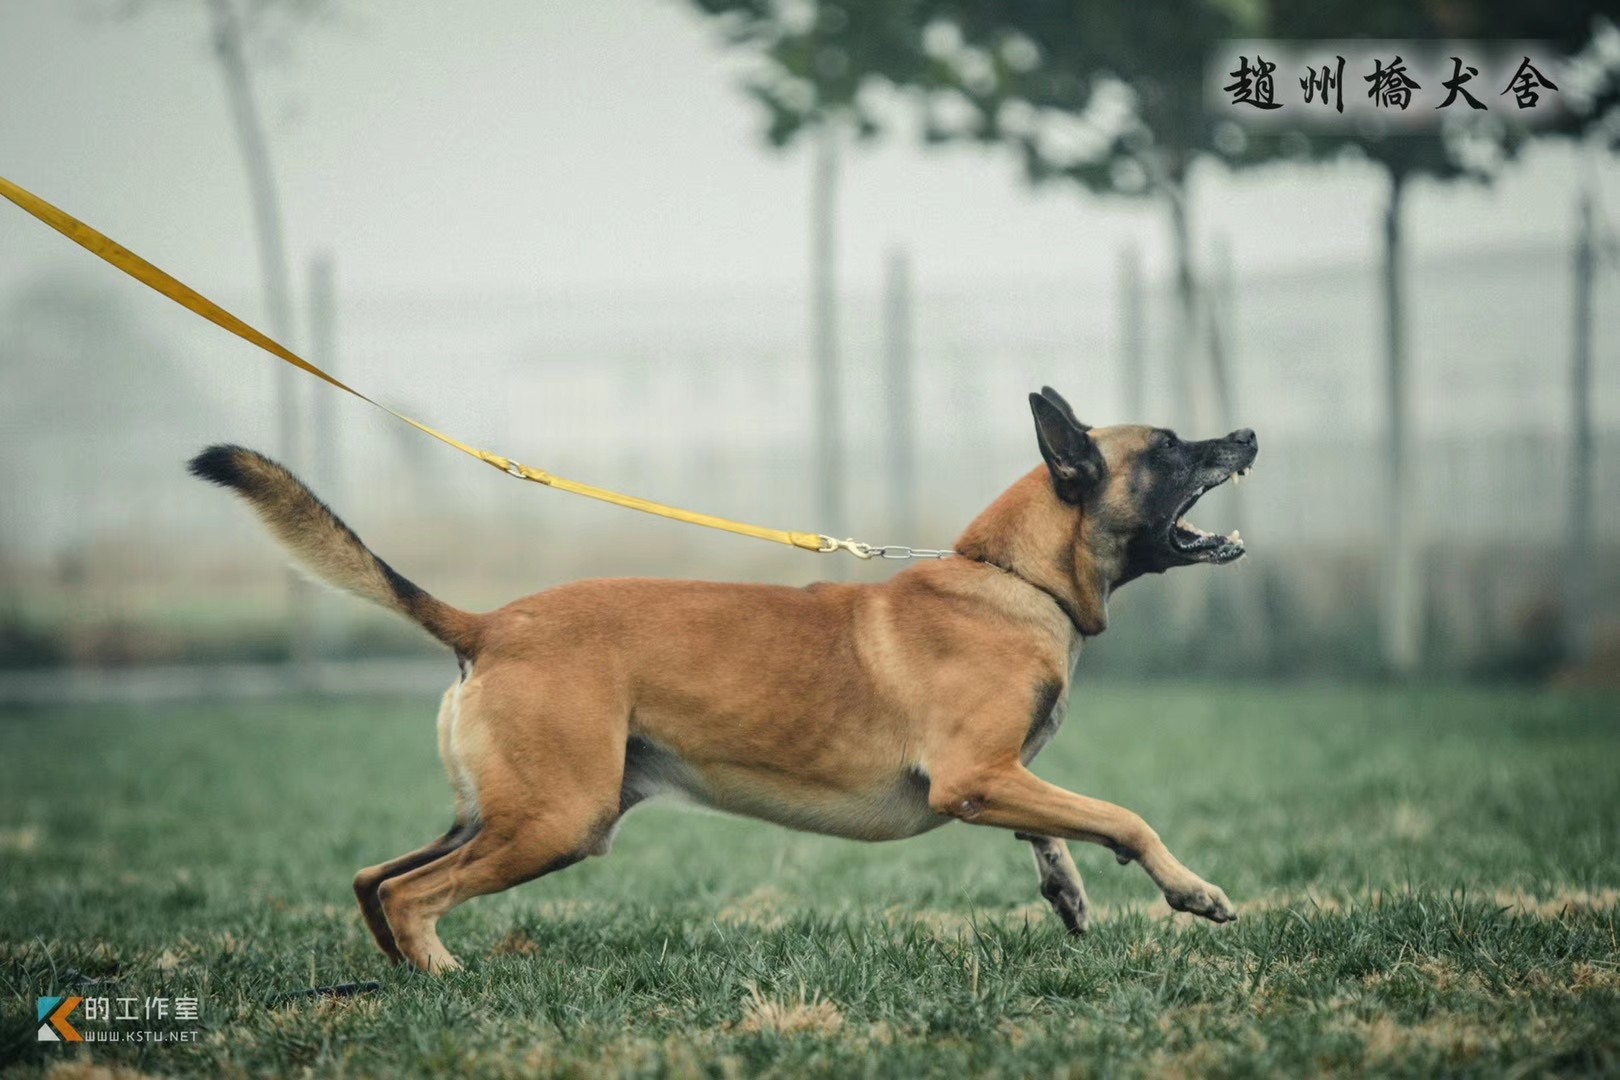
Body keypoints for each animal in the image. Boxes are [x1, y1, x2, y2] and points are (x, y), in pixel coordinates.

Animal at [189, 386, 1250, 971]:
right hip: (556, 819)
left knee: (377, 880)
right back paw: (448, 980)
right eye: (1166, 448)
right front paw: (1189, 891)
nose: (1243, 438)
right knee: (414, 895)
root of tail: (487, 624)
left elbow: (1059, 826)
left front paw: (1067, 891)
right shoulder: (976, 778)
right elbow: (1122, 817)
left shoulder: (998, 777)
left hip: (505, 812)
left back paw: (404, 976)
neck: (1012, 579)